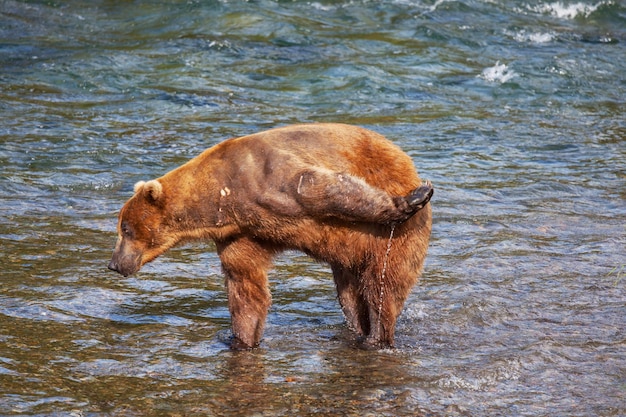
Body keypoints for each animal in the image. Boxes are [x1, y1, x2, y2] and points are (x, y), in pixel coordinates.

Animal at [108, 122, 428, 348]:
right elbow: (245, 287)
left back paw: (377, 336)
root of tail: (403, 155)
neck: (220, 199)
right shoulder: (241, 232)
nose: (113, 263)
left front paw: (408, 201)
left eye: (126, 229)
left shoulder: (267, 179)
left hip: (391, 237)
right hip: (347, 254)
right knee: (349, 294)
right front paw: (241, 338)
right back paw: (358, 329)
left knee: (382, 285)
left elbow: (317, 186)